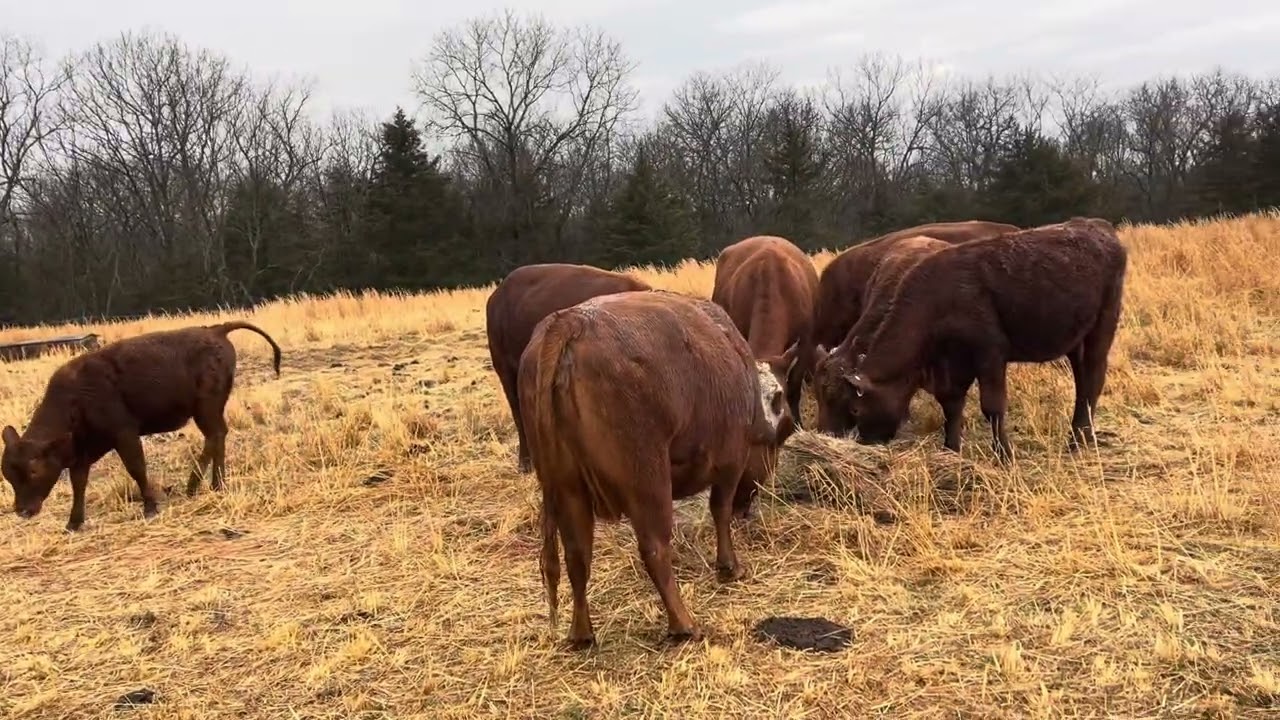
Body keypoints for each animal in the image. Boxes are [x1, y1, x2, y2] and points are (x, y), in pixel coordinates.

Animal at [1, 321, 282, 532]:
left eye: (34, 470)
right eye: (8, 475)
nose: (23, 510)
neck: (75, 399)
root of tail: (216, 330)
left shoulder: (125, 434)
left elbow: (136, 468)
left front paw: (150, 506)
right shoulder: (82, 451)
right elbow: (78, 483)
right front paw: (73, 523)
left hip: (205, 408)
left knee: (214, 435)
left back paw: (200, 485)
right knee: (217, 436)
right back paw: (210, 485)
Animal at [518, 289, 797, 648]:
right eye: (784, 432)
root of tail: (570, 323)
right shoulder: (730, 463)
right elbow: (719, 510)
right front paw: (729, 567)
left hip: (567, 488)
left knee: (578, 556)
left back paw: (582, 633)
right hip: (647, 480)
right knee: (654, 548)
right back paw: (683, 624)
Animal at [839, 217, 1127, 461]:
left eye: (855, 408)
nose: (865, 441)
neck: (938, 300)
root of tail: (1100, 227)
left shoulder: (990, 356)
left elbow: (992, 407)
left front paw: (1004, 455)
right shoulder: (952, 365)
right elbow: (951, 406)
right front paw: (951, 450)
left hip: (1101, 331)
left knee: (1093, 380)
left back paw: (1078, 442)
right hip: (1076, 342)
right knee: (1082, 384)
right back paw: (1080, 437)